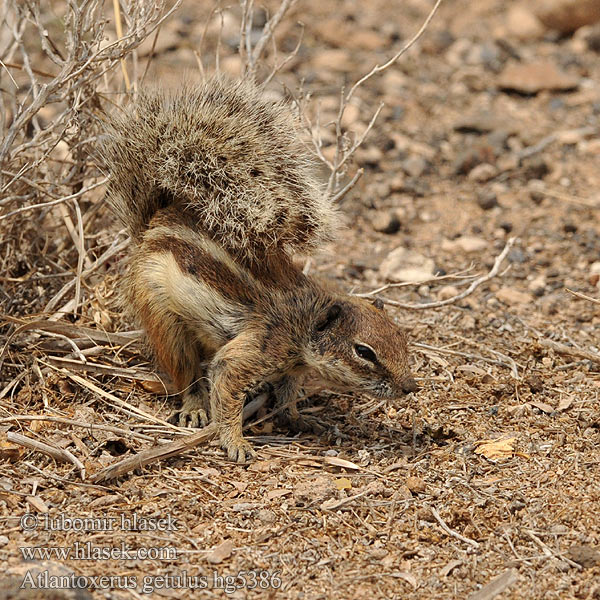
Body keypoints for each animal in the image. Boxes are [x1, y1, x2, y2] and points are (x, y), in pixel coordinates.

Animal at [101, 77, 414, 462]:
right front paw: (235, 441)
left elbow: (287, 393)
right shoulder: (257, 349)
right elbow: (226, 384)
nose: (411, 386)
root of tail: (153, 224)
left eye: (401, 336)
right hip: (162, 316)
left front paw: (298, 418)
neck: (305, 317)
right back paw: (194, 406)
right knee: (184, 370)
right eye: (364, 352)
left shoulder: (293, 367)